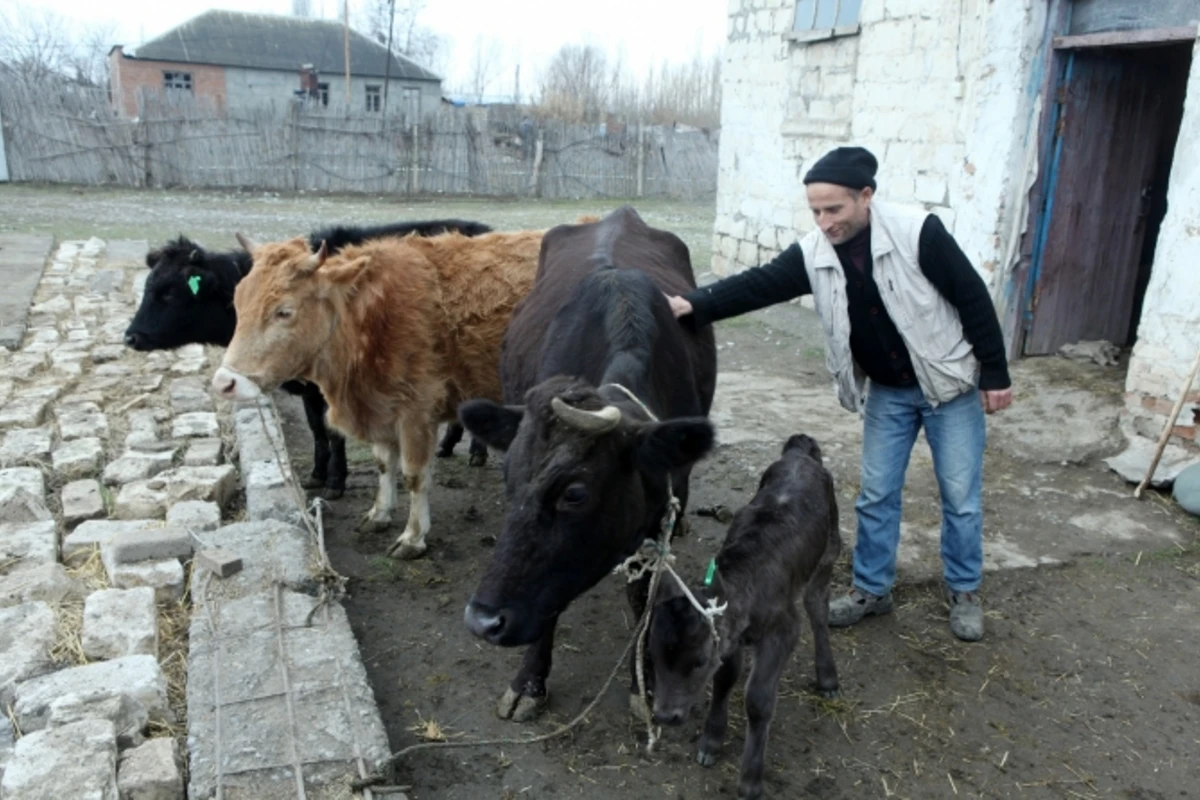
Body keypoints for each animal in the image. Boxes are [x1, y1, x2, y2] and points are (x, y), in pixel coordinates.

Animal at [123, 215, 492, 496]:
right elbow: (316, 428)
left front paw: (335, 481)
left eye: (169, 293)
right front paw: (317, 473)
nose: (131, 336)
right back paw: (448, 445)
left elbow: (332, 430)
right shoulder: (308, 391)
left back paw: (476, 453)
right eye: (149, 286)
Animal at [211, 227, 540, 561]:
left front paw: (413, 536)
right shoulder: (380, 407)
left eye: (284, 311)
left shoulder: (417, 412)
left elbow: (414, 475)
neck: (370, 319)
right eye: (238, 301)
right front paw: (379, 514)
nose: (224, 382)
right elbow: (384, 464)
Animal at [456, 205, 710, 719]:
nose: (482, 620)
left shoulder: (668, 496)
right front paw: (529, 682)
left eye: (574, 493)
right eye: (509, 478)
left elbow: (642, 592)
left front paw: (642, 683)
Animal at [652, 438, 840, 800]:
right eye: (652, 655)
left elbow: (758, 700)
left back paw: (828, 677)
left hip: (829, 551)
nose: (665, 716)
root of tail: (801, 451)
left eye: (698, 662)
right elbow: (726, 678)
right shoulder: (731, 636)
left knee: (817, 608)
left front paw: (751, 779)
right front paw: (711, 741)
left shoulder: (784, 629)